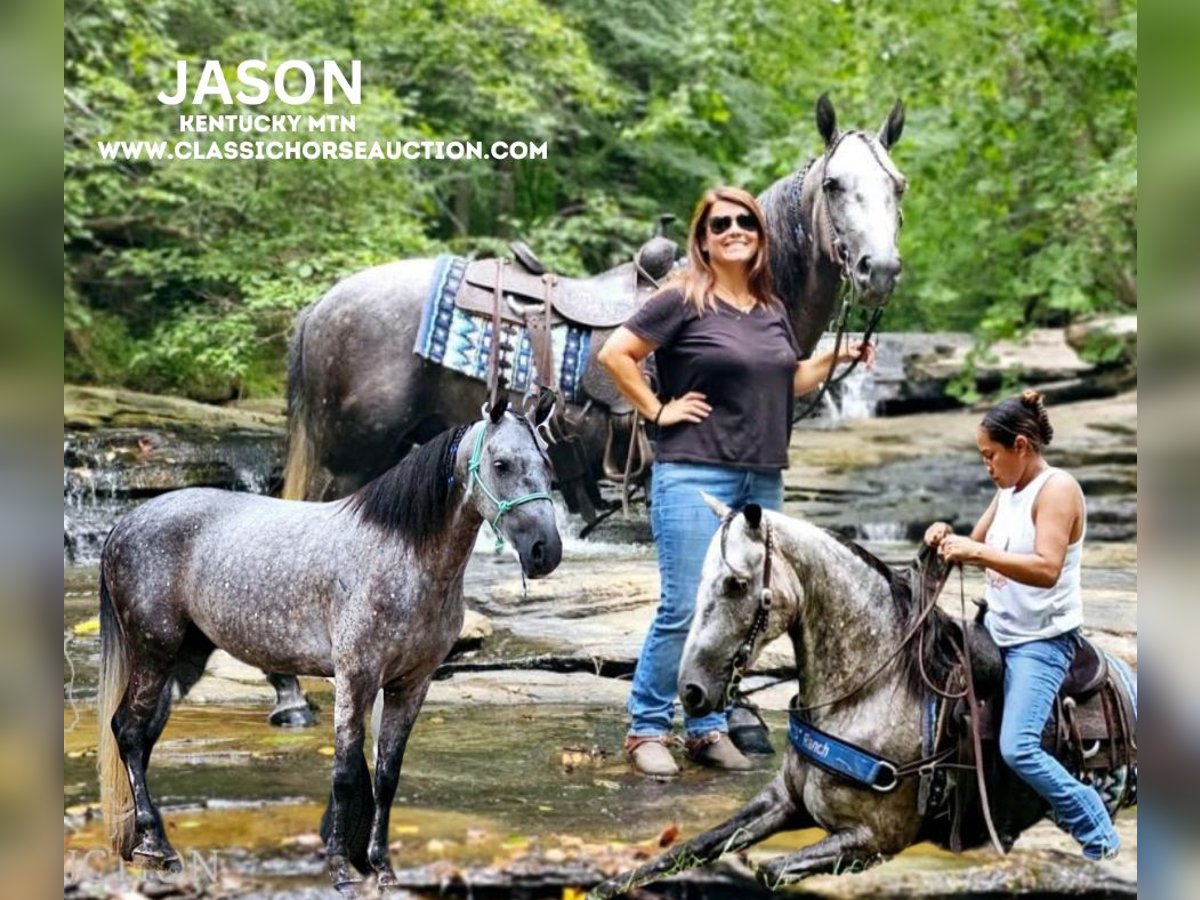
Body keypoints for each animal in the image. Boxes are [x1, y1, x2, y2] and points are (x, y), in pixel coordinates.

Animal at [96, 405, 559, 897]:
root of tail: (126, 523)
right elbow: (345, 773)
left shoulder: (411, 684)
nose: (545, 551)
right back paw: (158, 848)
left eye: (548, 464)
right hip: (153, 652)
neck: (400, 553)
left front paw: (383, 870)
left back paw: (140, 843)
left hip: (182, 659)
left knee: (142, 737)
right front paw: (340, 868)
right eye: (501, 465)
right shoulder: (355, 677)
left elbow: (387, 775)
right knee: (128, 732)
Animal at [267, 95, 907, 729]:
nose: (879, 270)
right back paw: (291, 693)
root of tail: (322, 303)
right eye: (833, 184)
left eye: (896, 185)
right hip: (346, 457)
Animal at [595, 501, 1137, 897]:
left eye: (736, 583)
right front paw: (614, 879)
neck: (868, 692)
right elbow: (691, 845)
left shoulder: (875, 838)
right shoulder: (781, 800)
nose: (691, 690)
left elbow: (770, 870)